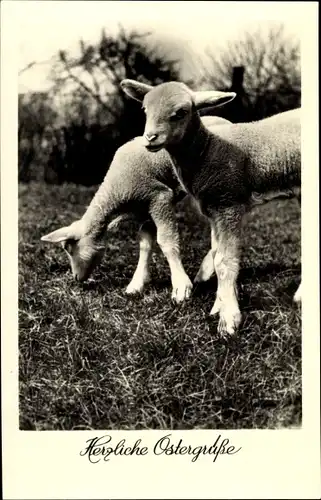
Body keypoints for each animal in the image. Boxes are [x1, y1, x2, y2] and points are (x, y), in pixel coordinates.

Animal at [42, 114, 232, 300]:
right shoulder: (146, 208)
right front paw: (137, 284)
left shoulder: (159, 197)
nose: (76, 278)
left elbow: (166, 241)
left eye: (68, 248)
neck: (115, 190)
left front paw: (180, 286)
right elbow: (145, 244)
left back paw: (206, 271)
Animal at [119, 79, 300, 336]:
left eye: (181, 113)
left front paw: (229, 319)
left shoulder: (228, 204)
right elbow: (215, 255)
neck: (207, 151)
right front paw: (218, 305)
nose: (150, 137)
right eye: (144, 110)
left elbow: (225, 260)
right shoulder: (214, 210)